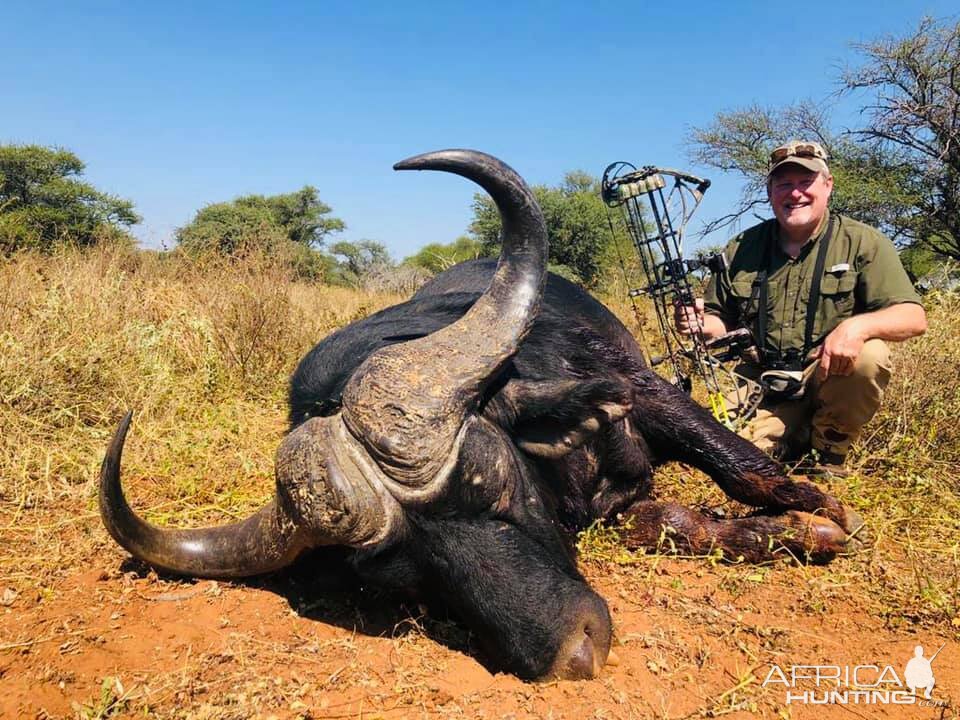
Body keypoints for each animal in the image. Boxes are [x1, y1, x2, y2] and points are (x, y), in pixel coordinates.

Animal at [99, 148, 864, 680]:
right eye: (408, 582)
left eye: (496, 487)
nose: (572, 656)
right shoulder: (617, 504)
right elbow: (674, 522)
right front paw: (785, 532)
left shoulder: (640, 388)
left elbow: (742, 467)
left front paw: (819, 513)